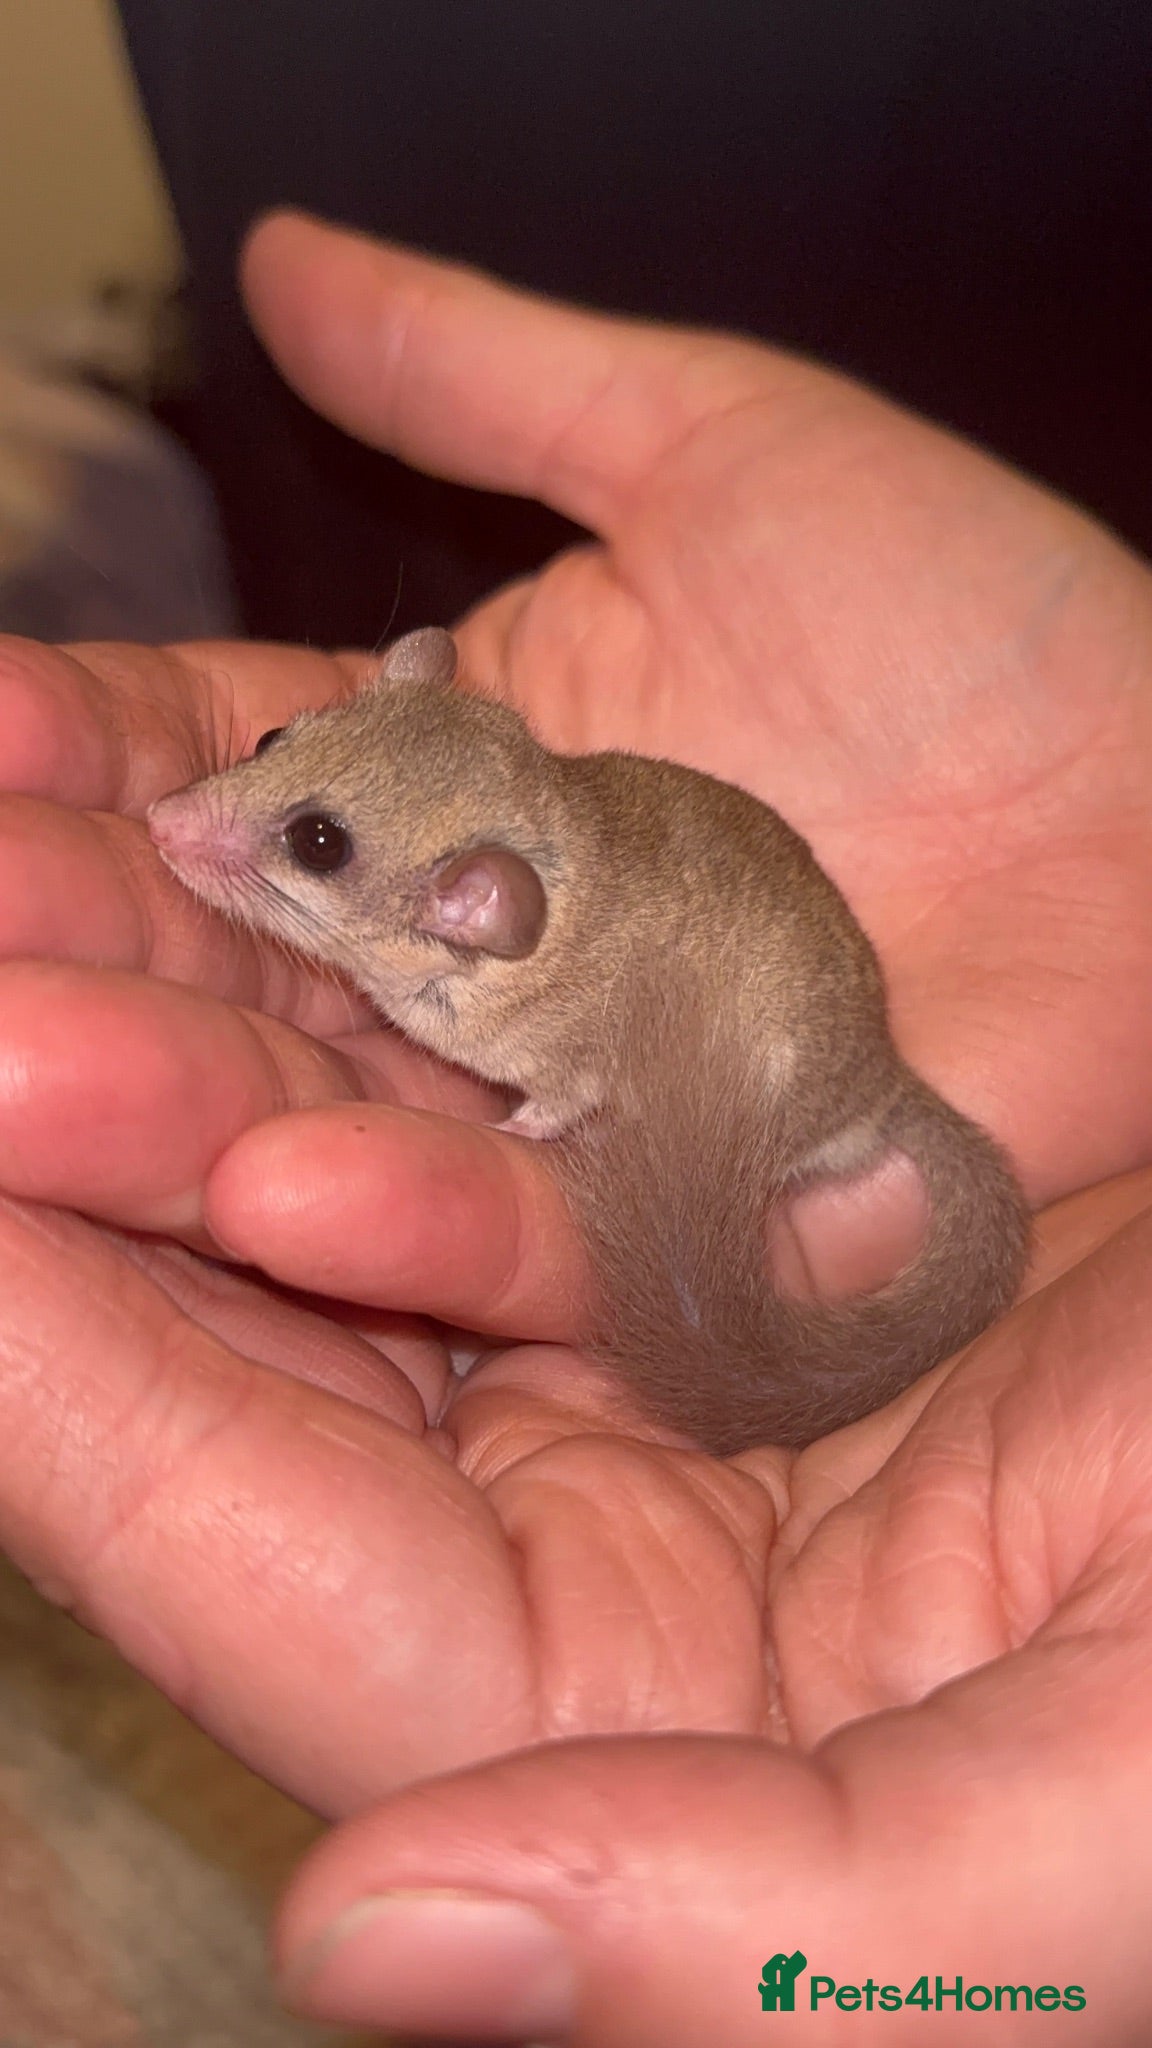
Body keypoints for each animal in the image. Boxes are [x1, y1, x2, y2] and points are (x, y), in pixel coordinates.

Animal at [147, 627, 1029, 1455]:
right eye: (272, 739)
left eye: (320, 843)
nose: (157, 822)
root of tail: (890, 1079)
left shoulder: (567, 1068)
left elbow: (547, 1110)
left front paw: (504, 1130)